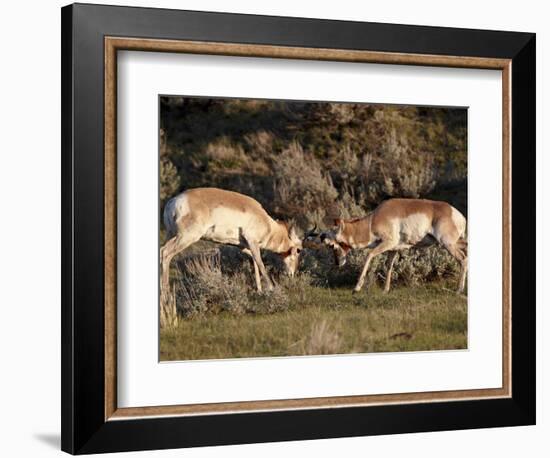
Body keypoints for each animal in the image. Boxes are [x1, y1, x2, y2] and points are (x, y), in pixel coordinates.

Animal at [160, 187, 306, 292]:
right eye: (298, 250)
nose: (292, 274)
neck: (267, 223)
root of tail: (172, 202)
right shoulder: (252, 242)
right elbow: (261, 264)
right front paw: (271, 288)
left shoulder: (243, 246)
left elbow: (255, 262)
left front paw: (259, 290)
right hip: (186, 237)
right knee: (166, 253)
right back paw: (166, 293)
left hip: (172, 235)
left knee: (161, 250)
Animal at [320, 199, 470, 294]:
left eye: (331, 245)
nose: (338, 263)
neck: (373, 220)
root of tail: (458, 215)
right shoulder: (393, 249)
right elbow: (389, 266)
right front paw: (385, 290)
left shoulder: (388, 243)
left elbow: (369, 255)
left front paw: (356, 288)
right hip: (455, 242)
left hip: (447, 244)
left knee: (463, 259)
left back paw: (458, 290)